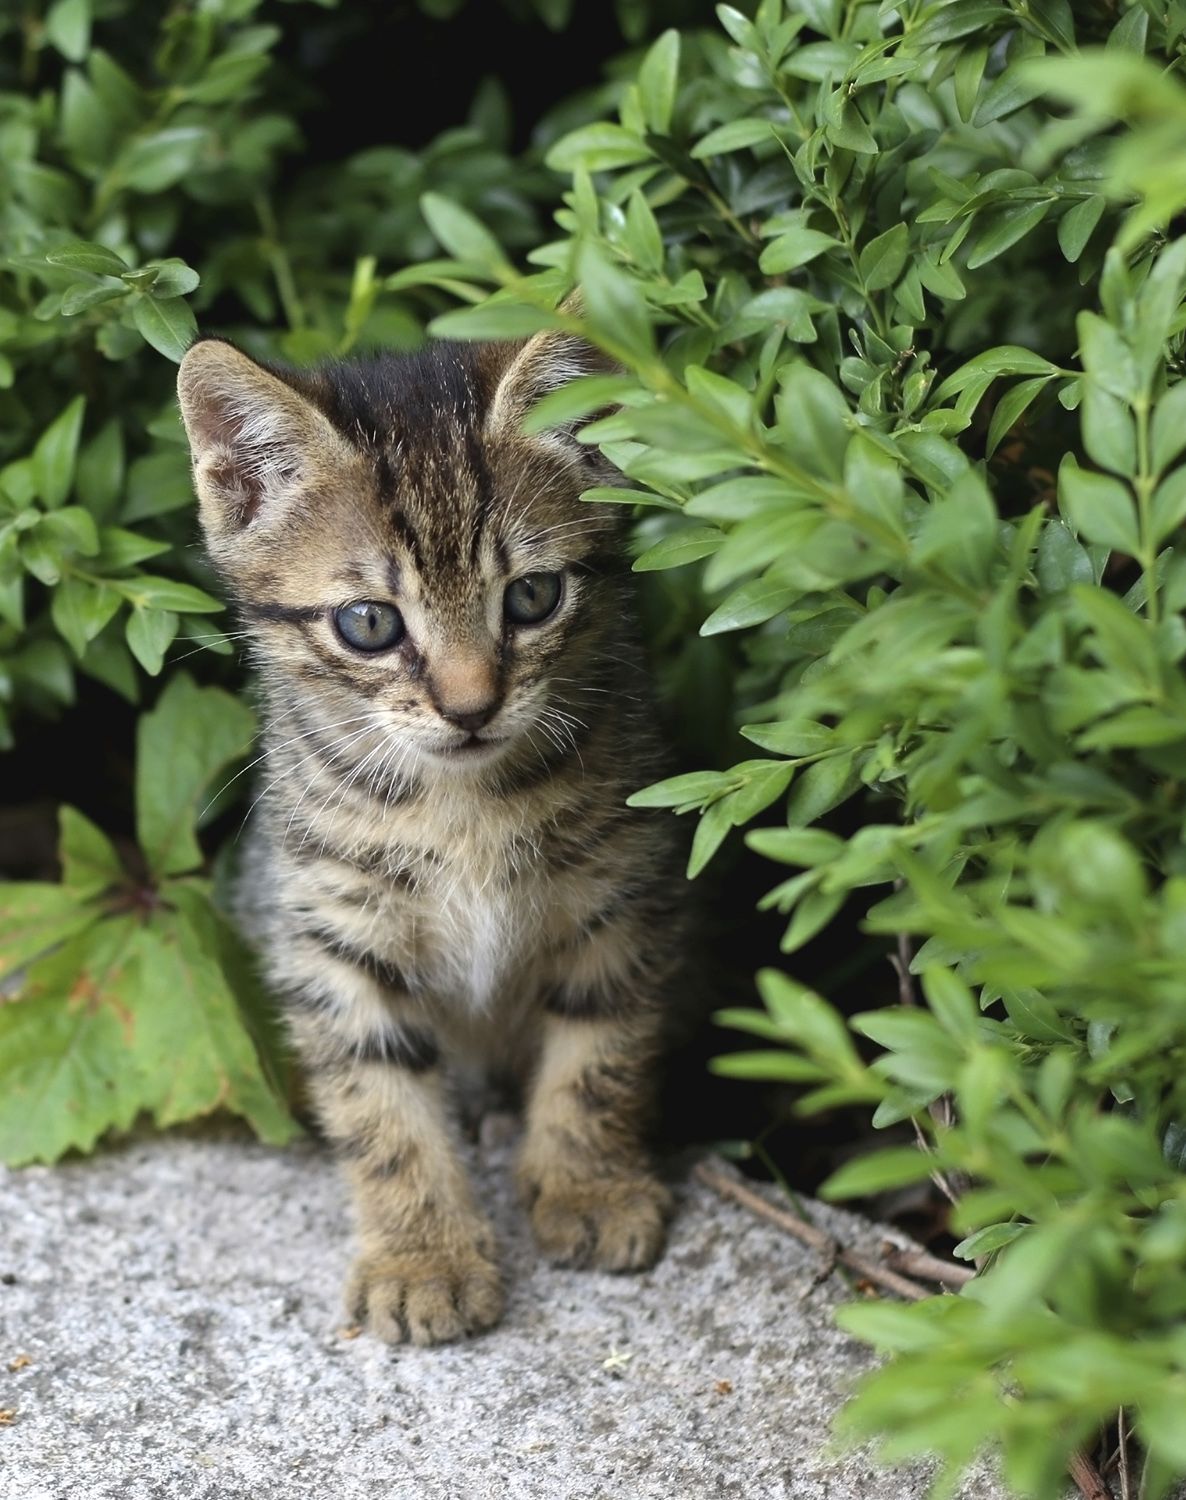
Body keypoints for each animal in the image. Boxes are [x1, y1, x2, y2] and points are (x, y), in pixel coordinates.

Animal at [179, 331, 689, 1350]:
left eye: (533, 597)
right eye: (369, 622)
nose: (470, 706)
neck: (462, 809)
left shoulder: (622, 900)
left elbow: (600, 1054)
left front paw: (589, 1186)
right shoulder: (332, 938)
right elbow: (380, 1111)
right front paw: (423, 1258)